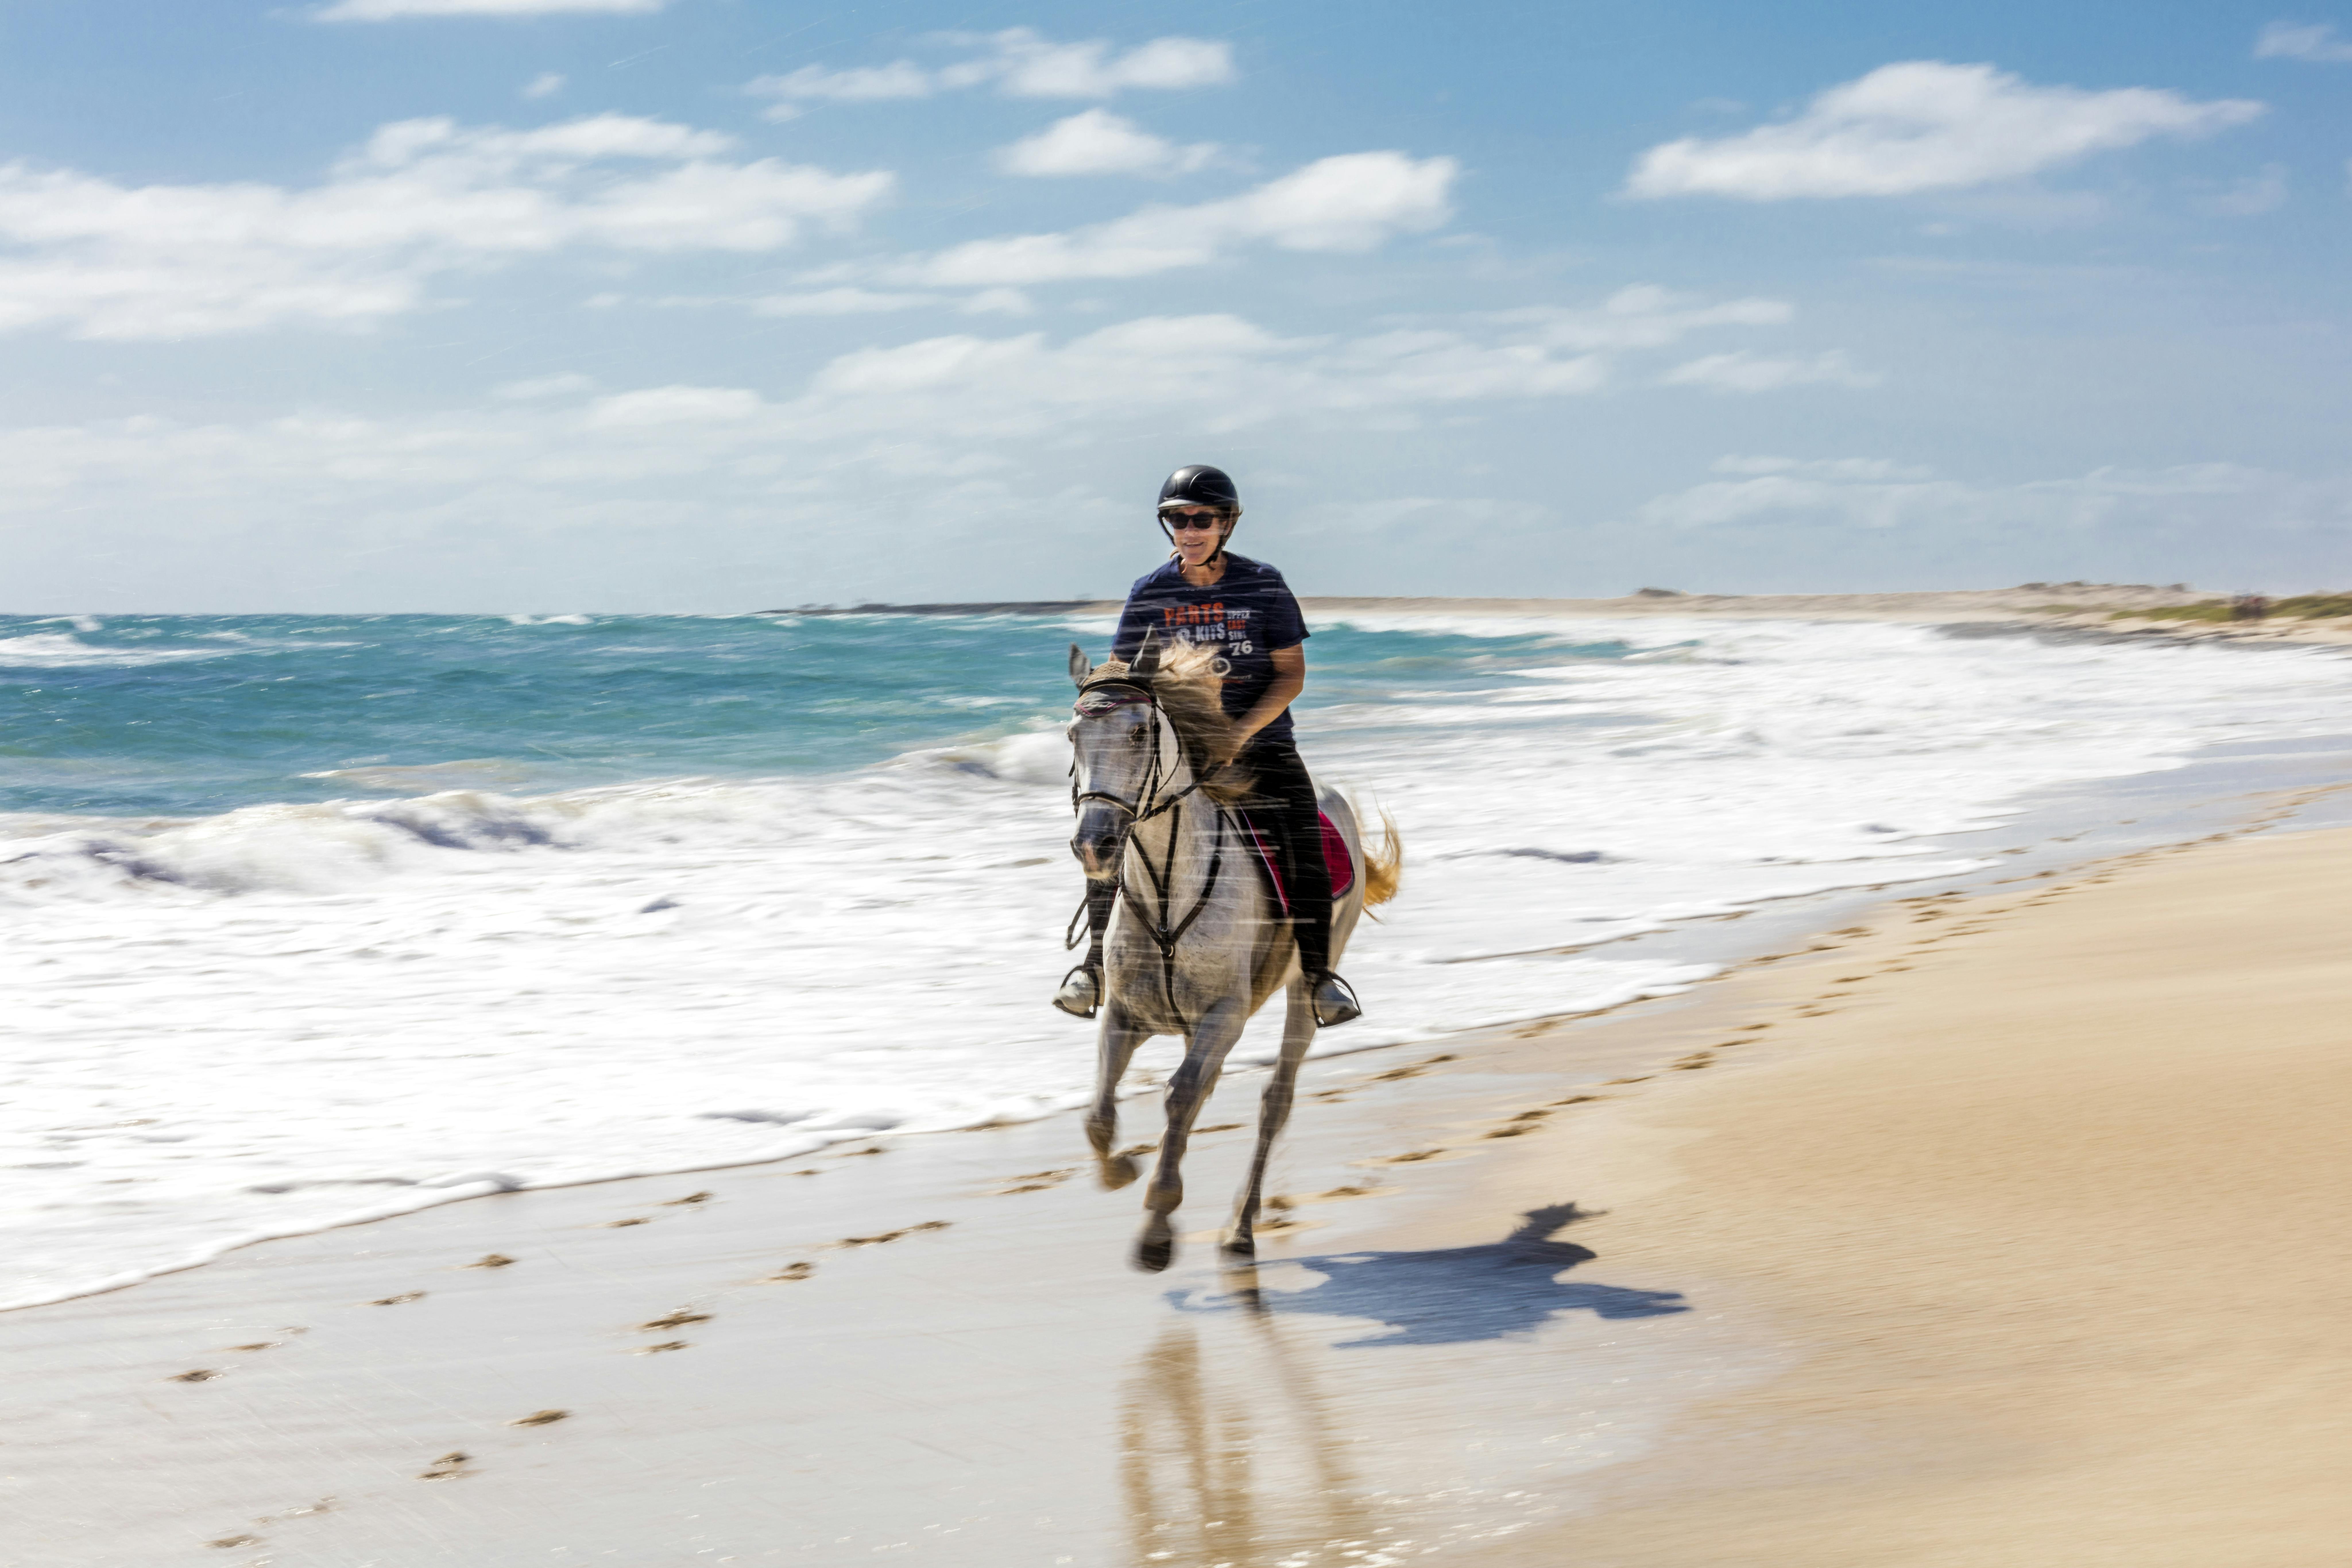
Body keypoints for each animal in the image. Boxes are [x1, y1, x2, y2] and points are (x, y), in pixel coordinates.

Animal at [1065, 630, 1401, 1273]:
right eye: (1073, 735)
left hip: (1302, 992)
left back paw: (1240, 1229)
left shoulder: (1223, 1017)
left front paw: (1157, 1229)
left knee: (1276, 1100)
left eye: (1138, 733)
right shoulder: (1124, 1016)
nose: (1094, 843)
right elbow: (1098, 1115)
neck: (1169, 891)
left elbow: (1180, 1096)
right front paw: (1123, 1169)